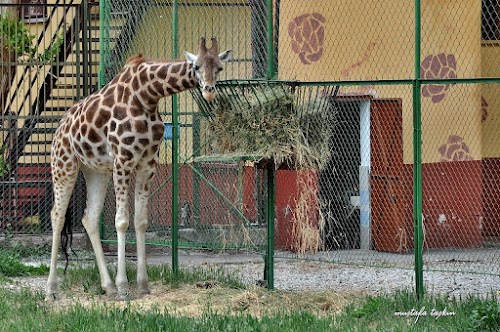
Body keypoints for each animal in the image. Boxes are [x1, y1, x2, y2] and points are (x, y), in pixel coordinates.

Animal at [45, 37, 232, 300]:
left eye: (219, 68)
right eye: (196, 66)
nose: (209, 91)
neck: (148, 95)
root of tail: (59, 128)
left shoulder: (147, 163)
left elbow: (141, 220)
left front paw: (142, 284)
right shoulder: (123, 160)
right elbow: (121, 221)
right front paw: (124, 287)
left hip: (96, 171)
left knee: (89, 218)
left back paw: (107, 286)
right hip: (64, 164)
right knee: (57, 216)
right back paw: (51, 290)